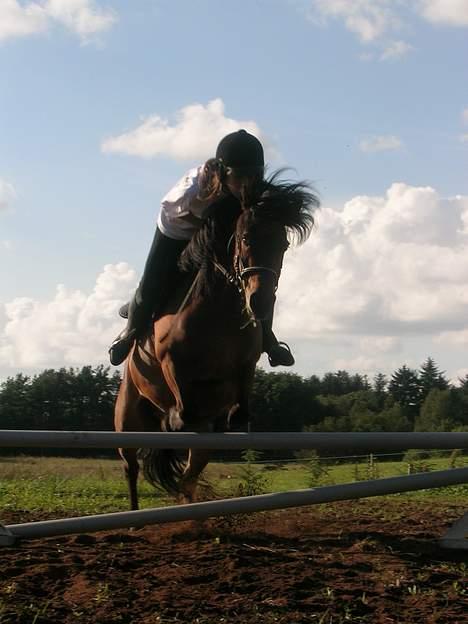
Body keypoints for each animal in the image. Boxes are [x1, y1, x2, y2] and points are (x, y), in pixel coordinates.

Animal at [114, 173, 318, 510]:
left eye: (284, 244)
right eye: (245, 238)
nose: (261, 303)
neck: (218, 311)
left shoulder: (246, 363)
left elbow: (242, 403)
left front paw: (232, 415)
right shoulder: (170, 361)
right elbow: (181, 403)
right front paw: (175, 418)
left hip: (198, 446)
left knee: (188, 477)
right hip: (127, 417)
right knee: (131, 467)